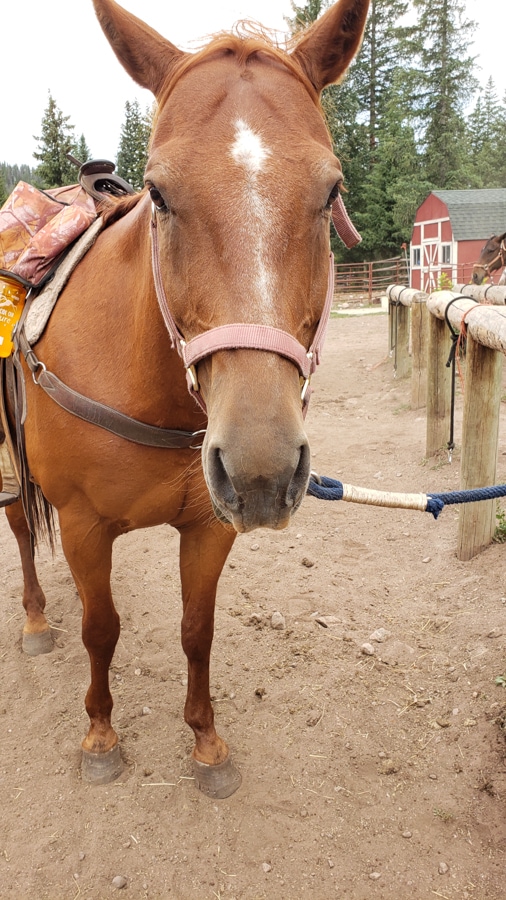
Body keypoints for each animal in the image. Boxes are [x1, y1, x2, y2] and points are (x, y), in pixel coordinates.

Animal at [4, 0, 369, 798]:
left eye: (330, 191)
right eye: (161, 193)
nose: (262, 469)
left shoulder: (208, 527)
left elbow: (196, 629)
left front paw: (206, 741)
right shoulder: (83, 525)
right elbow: (102, 630)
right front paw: (101, 736)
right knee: (19, 526)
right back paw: (38, 621)